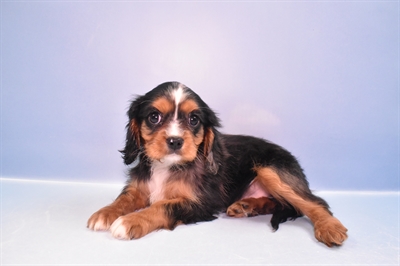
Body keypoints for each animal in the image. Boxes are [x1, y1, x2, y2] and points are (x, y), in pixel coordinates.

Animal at [86, 81, 346, 247]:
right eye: (154, 117)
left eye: (194, 120)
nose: (175, 141)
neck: (167, 166)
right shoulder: (139, 188)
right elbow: (124, 198)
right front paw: (104, 213)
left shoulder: (202, 202)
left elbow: (163, 206)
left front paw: (130, 221)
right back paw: (247, 206)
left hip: (271, 169)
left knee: (313, 202)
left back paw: (330, 228)